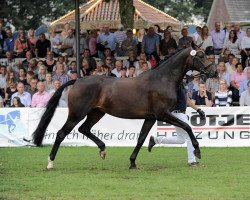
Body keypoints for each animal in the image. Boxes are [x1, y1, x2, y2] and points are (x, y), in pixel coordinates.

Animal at [31, 47, 211, 170]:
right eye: (200, 55)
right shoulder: (162, 114)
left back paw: (103, 150)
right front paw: (197, 151)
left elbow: (141, 138)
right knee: (62, 133)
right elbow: (187, 126)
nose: (212, 70)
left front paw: (132, 162)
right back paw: (50, 163)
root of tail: (77, 81)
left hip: (97, 113)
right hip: (77, 114)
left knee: (84, 129)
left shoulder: (151, 117)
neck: (162, 79)